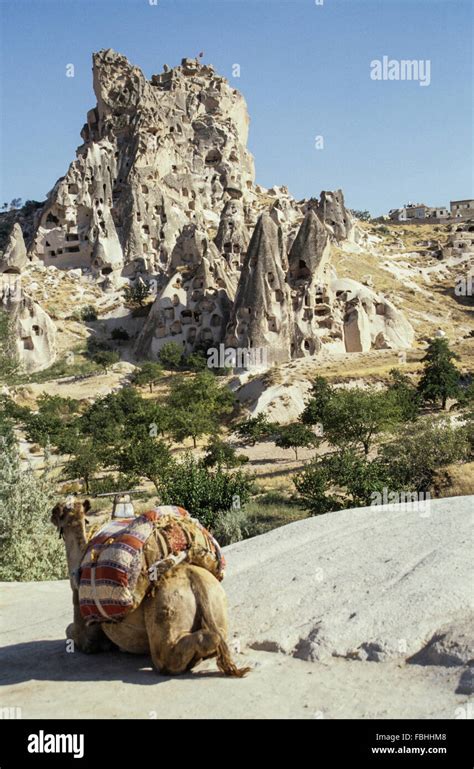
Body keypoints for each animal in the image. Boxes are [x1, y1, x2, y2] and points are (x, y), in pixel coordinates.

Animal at [51, 496, 252, 676]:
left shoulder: (86, 630)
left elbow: (70, 631)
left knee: (167, 657)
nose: (51, 513)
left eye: (59, 510)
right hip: (218, 604)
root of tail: (194, 578)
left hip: (166, 611)